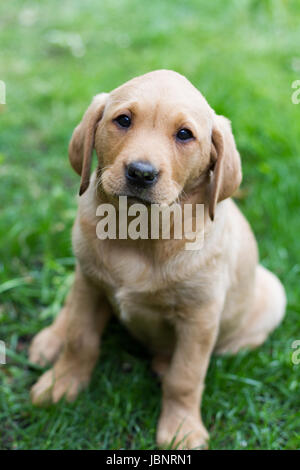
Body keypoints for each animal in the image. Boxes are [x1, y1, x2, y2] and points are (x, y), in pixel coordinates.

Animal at [29, 70, 286, 448]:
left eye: (184, 135)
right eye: (123, 120)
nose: (141, 172)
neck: (138, 232)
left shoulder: (200, 318)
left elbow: (186, 377)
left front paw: (181, 429)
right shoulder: (90, 285)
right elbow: (80, 339)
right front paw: (61, 383)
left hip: (273, 294)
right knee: (70, 308)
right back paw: (51, 338)